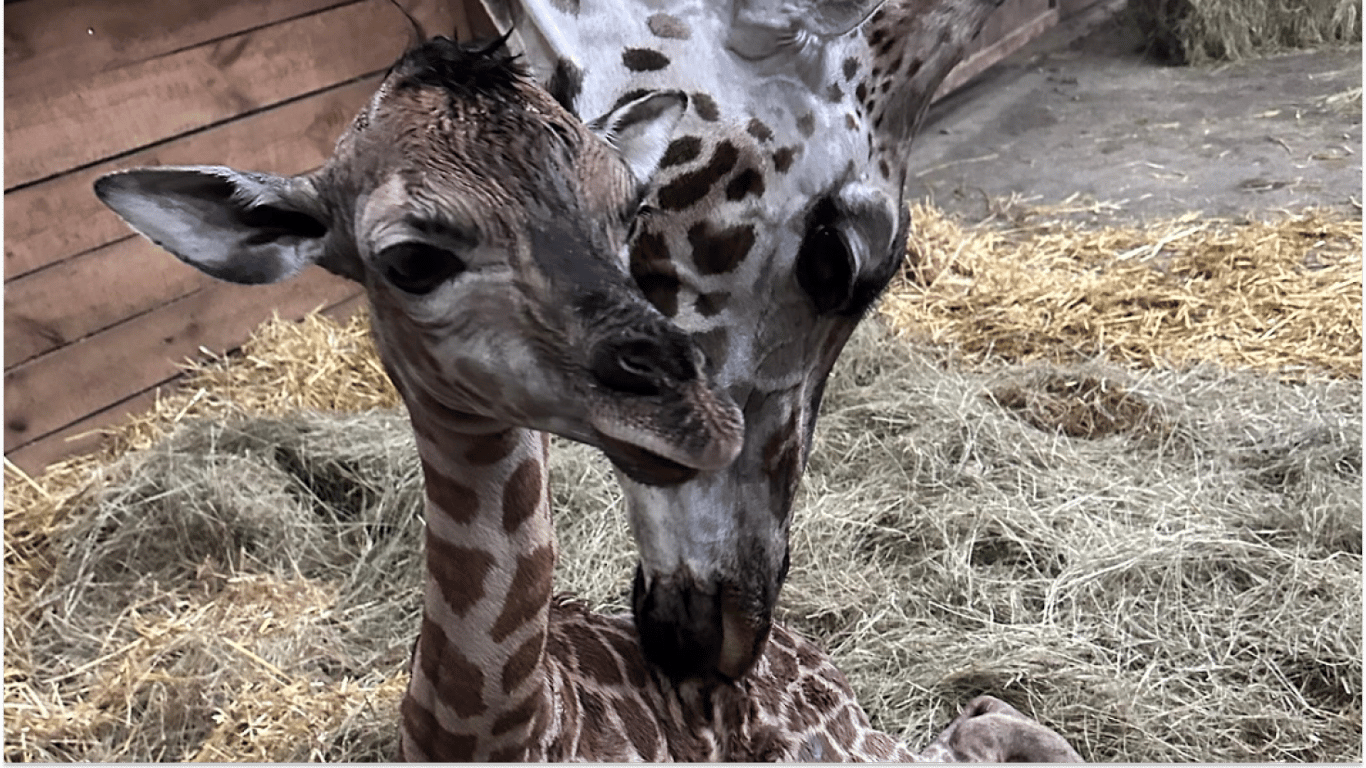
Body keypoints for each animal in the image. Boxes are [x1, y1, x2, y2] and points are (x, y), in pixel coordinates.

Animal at [93, 32, 1076, 754]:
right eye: (410, 259)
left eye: (631, 208)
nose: (694, 418)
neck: (494, 740)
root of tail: (810, 654)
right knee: (975, 719)